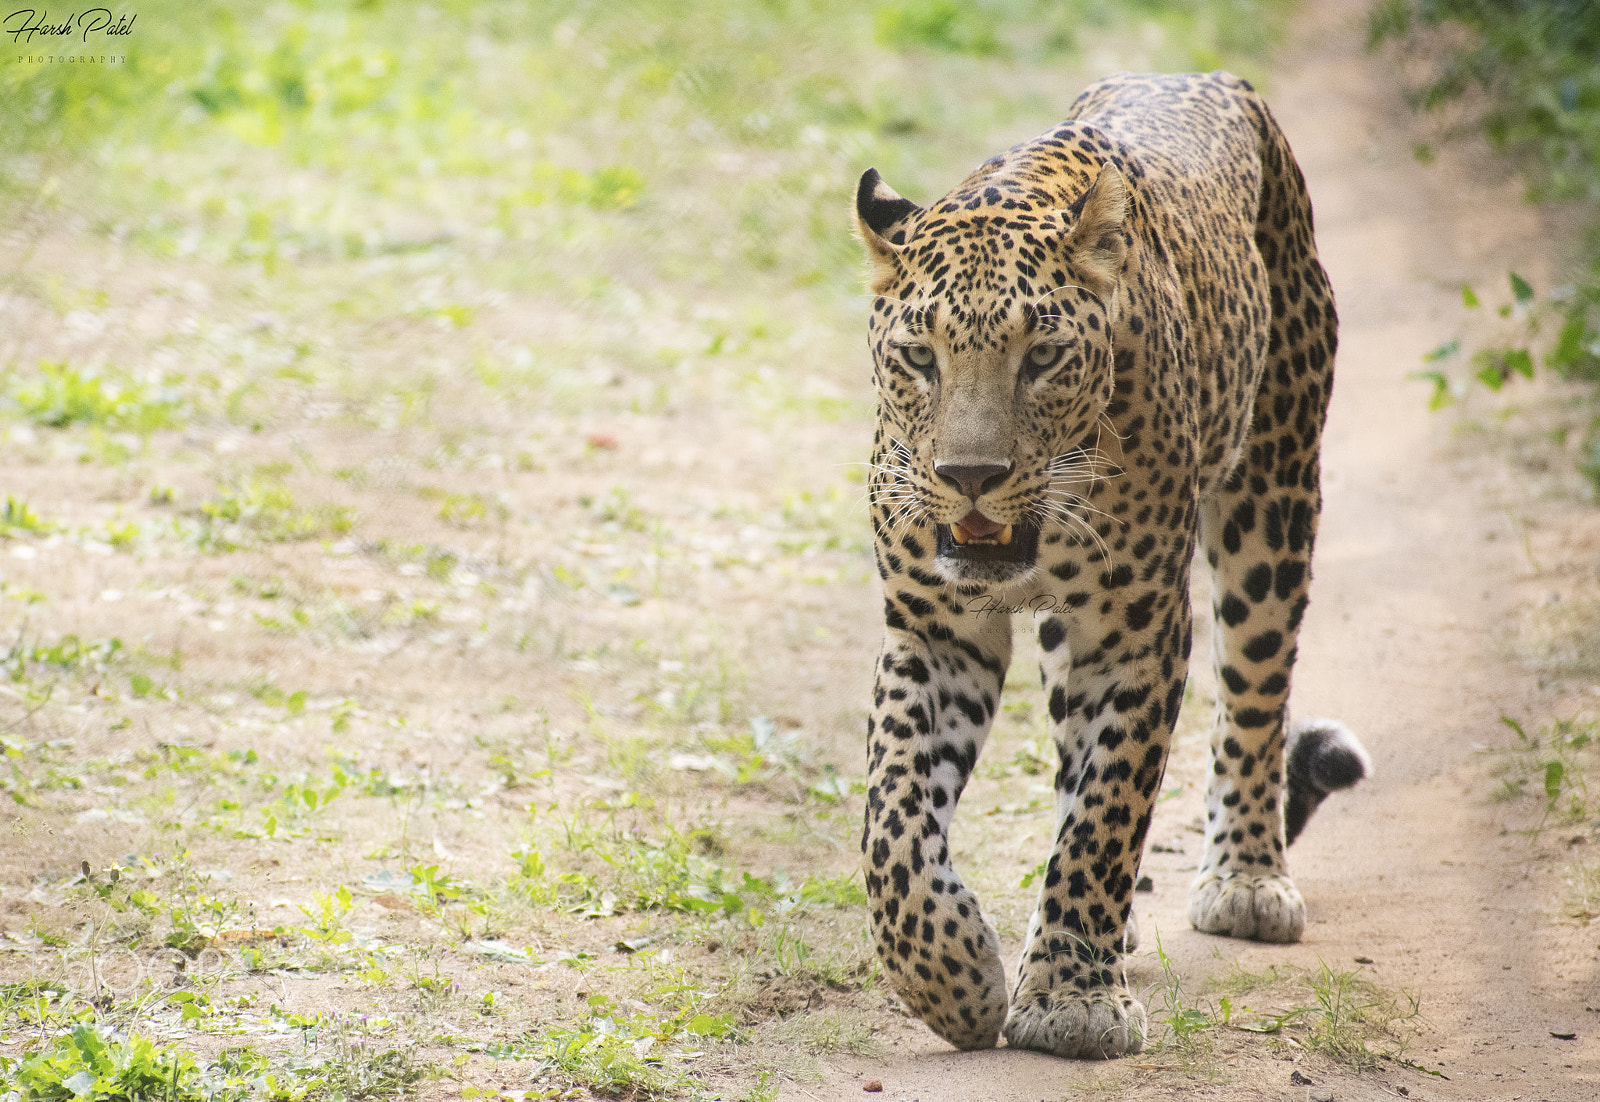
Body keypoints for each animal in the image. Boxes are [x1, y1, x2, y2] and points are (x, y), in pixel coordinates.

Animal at [853, 71, 1372, 1060]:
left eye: (1044, 356)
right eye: (919, 356)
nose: (969, 477)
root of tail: (1218, 80)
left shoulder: (1138, 632)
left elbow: (1110, 811)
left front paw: (1071, 998)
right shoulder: (932, 629)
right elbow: (892, 817)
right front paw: (953, 977)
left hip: (1275, 492)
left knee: (1254, 695)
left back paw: (1246, 877)